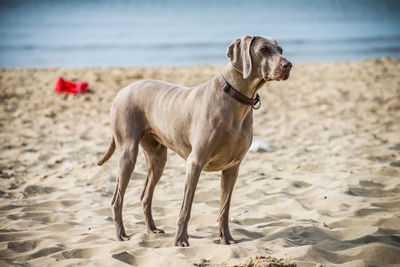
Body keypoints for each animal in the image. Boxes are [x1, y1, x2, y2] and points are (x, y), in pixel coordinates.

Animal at [97, 35, 290, 247]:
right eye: (264, 50)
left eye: (280, 50)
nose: (288, 65)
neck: (235, 99)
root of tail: (122, 90)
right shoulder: (195, 163)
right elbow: (186, 208)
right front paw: (180, 240)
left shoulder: (232, 167)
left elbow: (224, 208)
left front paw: (226, 238)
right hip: (128, 152)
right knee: (117, 199)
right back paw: (121, 234)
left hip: (158, 158)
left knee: (145, 195)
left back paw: (152, 229)